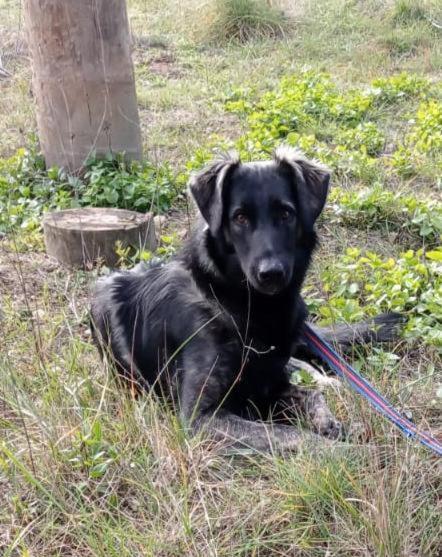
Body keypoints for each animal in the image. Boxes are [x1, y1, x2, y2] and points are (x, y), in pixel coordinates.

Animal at [91, 147, 402, 452]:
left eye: (286, 214)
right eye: (239, 218)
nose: (271, 274)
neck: (245, 306)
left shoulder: (270, 384)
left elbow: (310, 396)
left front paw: (335, 426)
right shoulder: (201, 418)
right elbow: (289, 434)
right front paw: (352, 453)